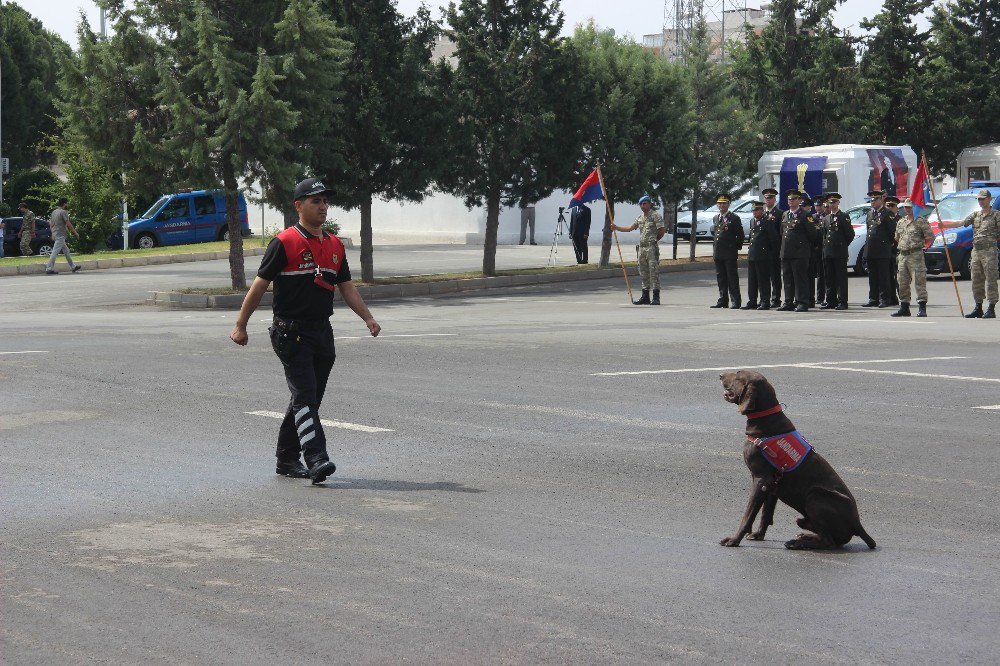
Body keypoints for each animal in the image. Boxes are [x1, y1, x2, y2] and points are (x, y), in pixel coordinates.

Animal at [720, 368, 876, 548]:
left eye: (738, 374)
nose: (720, 375)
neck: (765, 420)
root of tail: (858, 524)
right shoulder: (772, 483)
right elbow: (765, 513)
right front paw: (758, 535)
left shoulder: (761, 480)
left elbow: (748, 514)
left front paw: (734, 540)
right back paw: (804, 537)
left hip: (815, 497)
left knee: (829, 542)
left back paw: (798, 543)